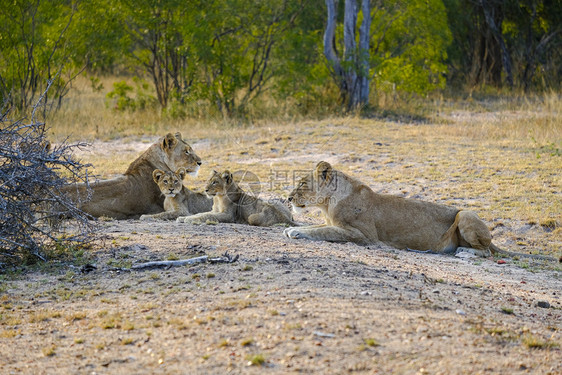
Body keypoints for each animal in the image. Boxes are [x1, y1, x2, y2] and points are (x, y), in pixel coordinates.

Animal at [282, 162, 552, 262]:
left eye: (302, 183)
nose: (288, 198)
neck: (327, 204)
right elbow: (318, 227)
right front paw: (293, 229)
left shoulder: (363, 235)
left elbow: (324, 231)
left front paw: (295, 232)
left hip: (465, 214)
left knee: (485, 251)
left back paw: (464, 253)